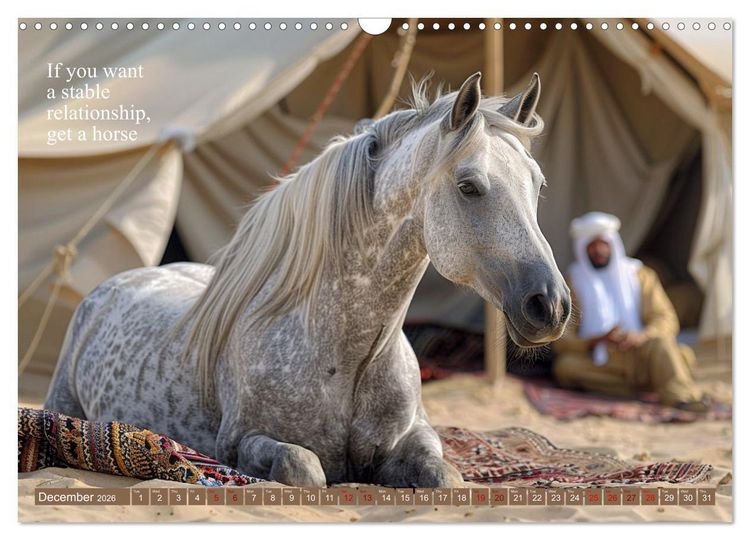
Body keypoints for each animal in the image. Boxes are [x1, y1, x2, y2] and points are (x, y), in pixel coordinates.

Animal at [45, 72, 571, 488]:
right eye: (468, 186)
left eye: (539, 184)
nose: (550, 305)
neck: (346, 356)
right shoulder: (239, 444)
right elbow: (305, 470)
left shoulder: (417, 437)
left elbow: (445, 478)